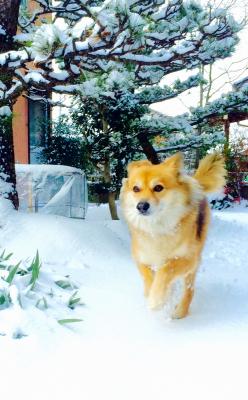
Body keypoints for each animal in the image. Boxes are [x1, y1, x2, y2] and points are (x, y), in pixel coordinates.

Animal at [121, 152, 226, 318]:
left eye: (158, 188)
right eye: (136, 189)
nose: (141, 206)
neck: (157, 226)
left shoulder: (189, 259)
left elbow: (166, 269)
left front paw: (156, 300)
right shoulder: (141, 259)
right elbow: (148, 277)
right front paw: (153, 294)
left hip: (194, 263)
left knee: (189, 289)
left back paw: (180, 311)